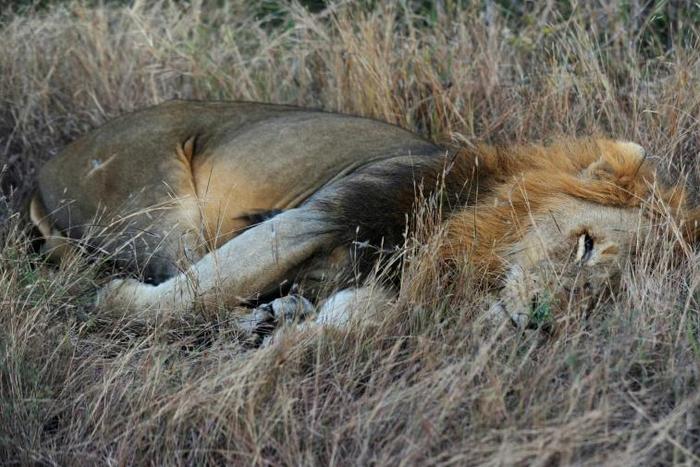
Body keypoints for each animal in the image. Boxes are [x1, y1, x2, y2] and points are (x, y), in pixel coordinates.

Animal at [29, 100, 698, 331]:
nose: (540, 325)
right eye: (587, 245)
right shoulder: (321, 212)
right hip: (160, 202)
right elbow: (210, 285)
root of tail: (44, 170)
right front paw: (116, 301)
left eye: (610, 298)